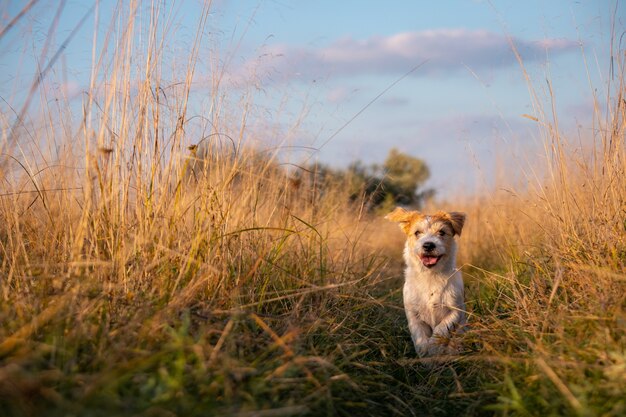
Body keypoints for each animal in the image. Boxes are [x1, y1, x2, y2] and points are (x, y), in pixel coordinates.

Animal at [382, 206, 466, 356]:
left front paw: (433, 347)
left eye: (442, 232)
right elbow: (419, 335)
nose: (428, 245)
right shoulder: (413, 315)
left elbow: (441, 328)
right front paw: (424, 351)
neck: (430, 276)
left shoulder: (455, 310)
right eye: (417, 232)